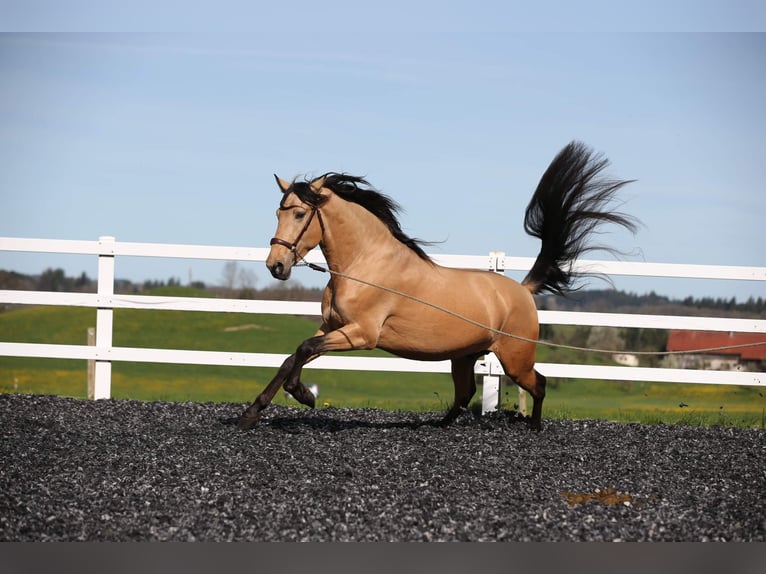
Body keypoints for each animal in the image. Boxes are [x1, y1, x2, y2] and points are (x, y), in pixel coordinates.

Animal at [238, 142, 636, 432]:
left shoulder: (360, 334)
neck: (364, 266)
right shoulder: (333, 328)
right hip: (464, 356)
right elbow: (292, 357)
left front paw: (301, 396)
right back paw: (437, 425)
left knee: (538, 383)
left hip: (514, 359)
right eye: (278, 212)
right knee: (466, 391)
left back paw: (535, 428)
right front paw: (258, 411)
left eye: (299, 214)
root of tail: (522, 290)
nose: (276, 266)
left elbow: (303, 349)